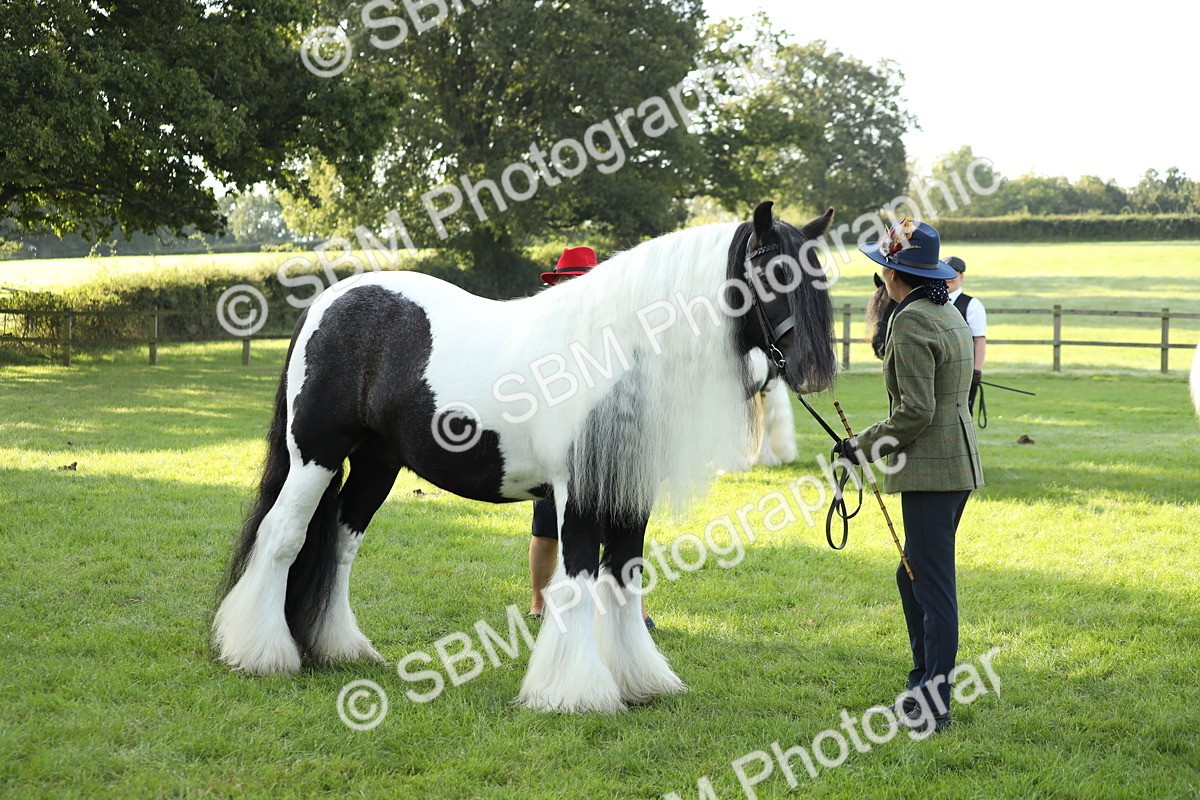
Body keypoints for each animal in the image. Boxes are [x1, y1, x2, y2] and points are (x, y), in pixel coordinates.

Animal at [212, 201, 838, 713]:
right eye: (774, 272)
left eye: (820, 279)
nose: (815, 371)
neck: (615, 353)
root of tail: (328, 301)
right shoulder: (578, 494)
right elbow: (578, 577)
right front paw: (574, 692)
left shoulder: (629, 494)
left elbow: (623, 577)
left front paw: (640, 682)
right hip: (314, 457)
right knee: (283, 536)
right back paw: (259, 653)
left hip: (376, 465)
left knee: (341, 544)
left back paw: (339, 648)